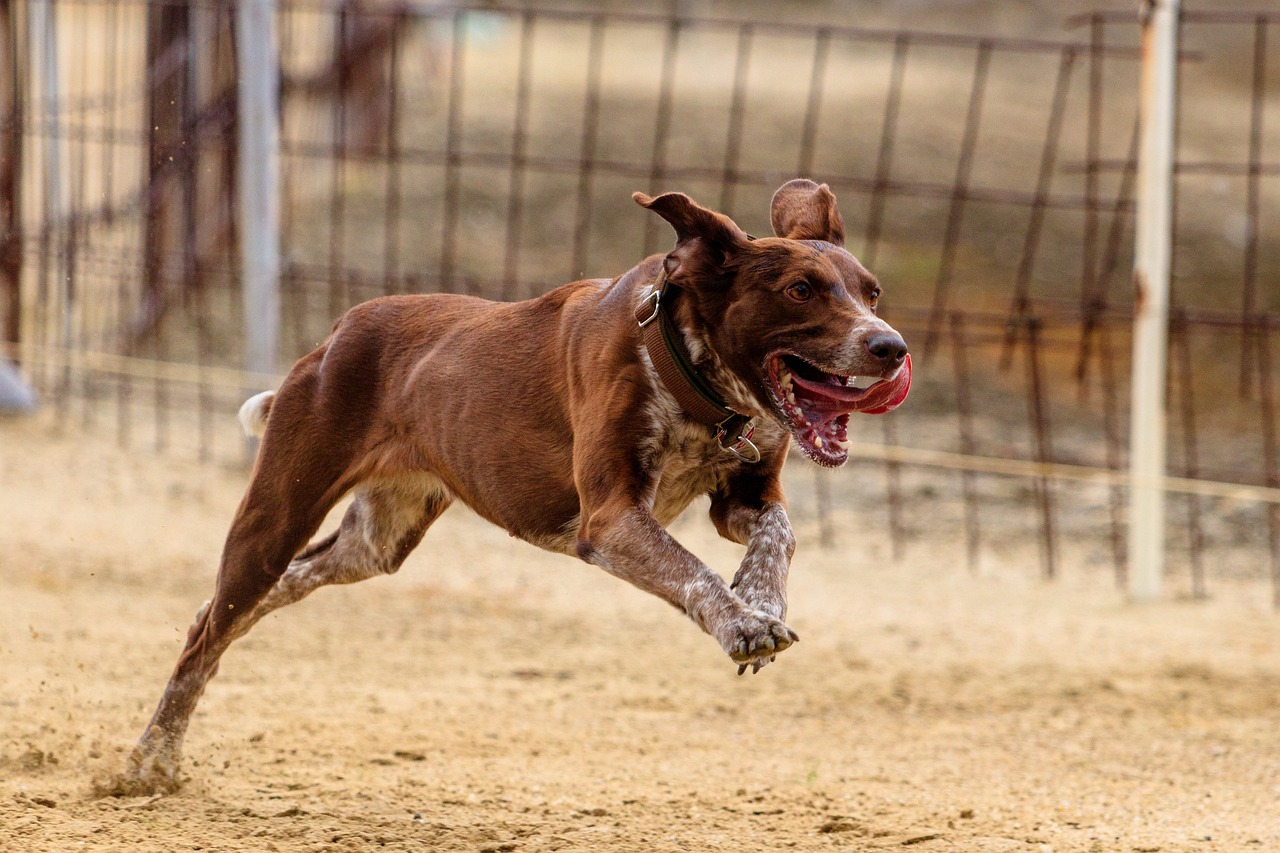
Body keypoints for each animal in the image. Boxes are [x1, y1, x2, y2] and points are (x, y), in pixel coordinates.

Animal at [117, 178, 901, 788]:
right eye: (800, 290)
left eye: (872, 292)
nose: (891, 346)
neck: (688, 369)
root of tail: (337, 332)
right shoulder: (611, 518)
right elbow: (693, 572)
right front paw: (741, 622)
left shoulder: (743, 494)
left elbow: (778, 534)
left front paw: (760, 597)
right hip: (276, 515)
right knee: (209, 634)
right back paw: (150, 762)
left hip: (374, 543)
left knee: (247, 603)